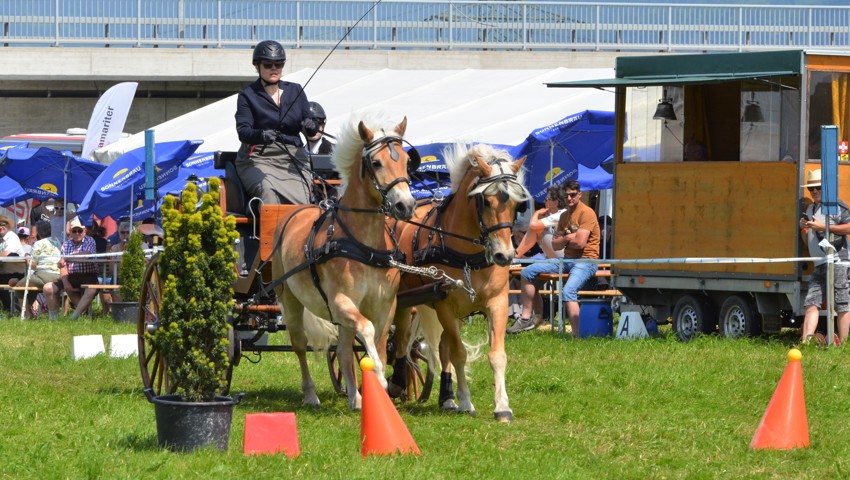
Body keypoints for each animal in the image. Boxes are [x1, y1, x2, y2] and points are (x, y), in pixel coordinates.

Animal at [270, 114, 416, 410]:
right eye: (376, 162)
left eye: (407, 161)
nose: (405, 206)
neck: (364, 245)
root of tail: (293, 213)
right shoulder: (341, 302)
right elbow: (368, 333)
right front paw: (380, 378)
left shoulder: (385, 306)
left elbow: (380, 345)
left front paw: (378, 390)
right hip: (291, 301)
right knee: (300, 345)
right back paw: (311, 395)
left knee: (344, 351)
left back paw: (355, 398)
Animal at [386, 144, 528, 422]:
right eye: (486, 200)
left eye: (517, 204)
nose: (504, 255)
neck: (467, 256)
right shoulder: (445, 306)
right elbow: (459, 353)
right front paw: (466, 401)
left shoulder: (497, 303)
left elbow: (496, 355)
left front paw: (502, 406)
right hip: (404, 300)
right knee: (401, 338)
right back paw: (397, 383)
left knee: (441, 347)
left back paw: (446, 397)